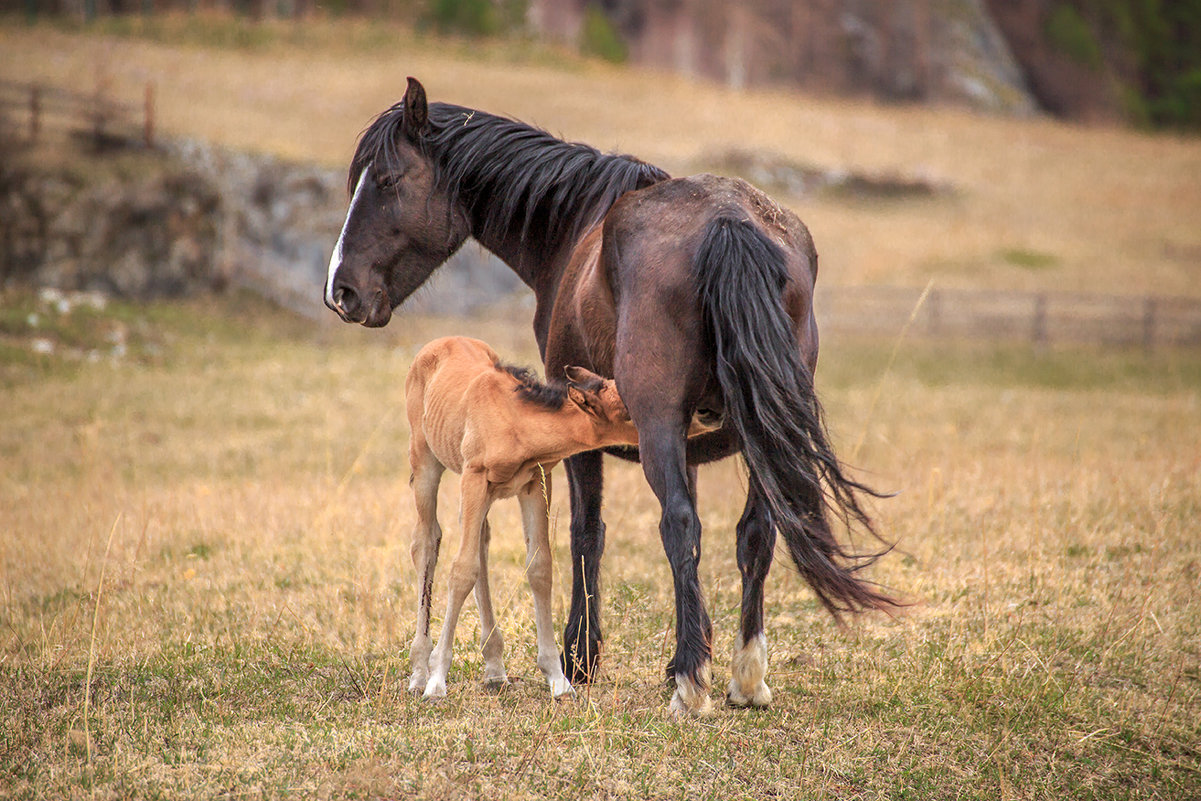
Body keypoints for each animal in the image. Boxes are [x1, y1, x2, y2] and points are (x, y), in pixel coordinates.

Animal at [324, 78, 898, 715]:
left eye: (386, 180)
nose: (342, 291)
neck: (577, 227)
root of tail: (730, 223)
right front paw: (686, 649)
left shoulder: (588, 437)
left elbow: (585, 534)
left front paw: (581, 656)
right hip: (753, 435)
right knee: (755, 531)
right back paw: (745, 677)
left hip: (663, 426)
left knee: (678, 525)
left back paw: (689, 686)